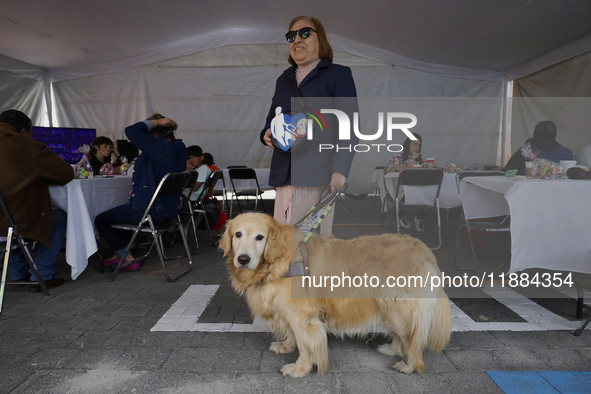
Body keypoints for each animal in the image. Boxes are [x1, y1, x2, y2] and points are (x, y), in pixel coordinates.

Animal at [222, 214, 454, 378]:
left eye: (260, 237)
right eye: (237, 235)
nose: (243, 259)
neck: (277, 263)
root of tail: (425, 250)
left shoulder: (302, 316)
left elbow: (306, 345)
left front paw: (300, 368)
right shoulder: (291, 313)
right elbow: (293, 335)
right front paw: (286, 346)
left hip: (398, 306)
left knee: (412, 338)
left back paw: (409, 365)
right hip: (389, 307)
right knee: (402, 334)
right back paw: (392, 349)